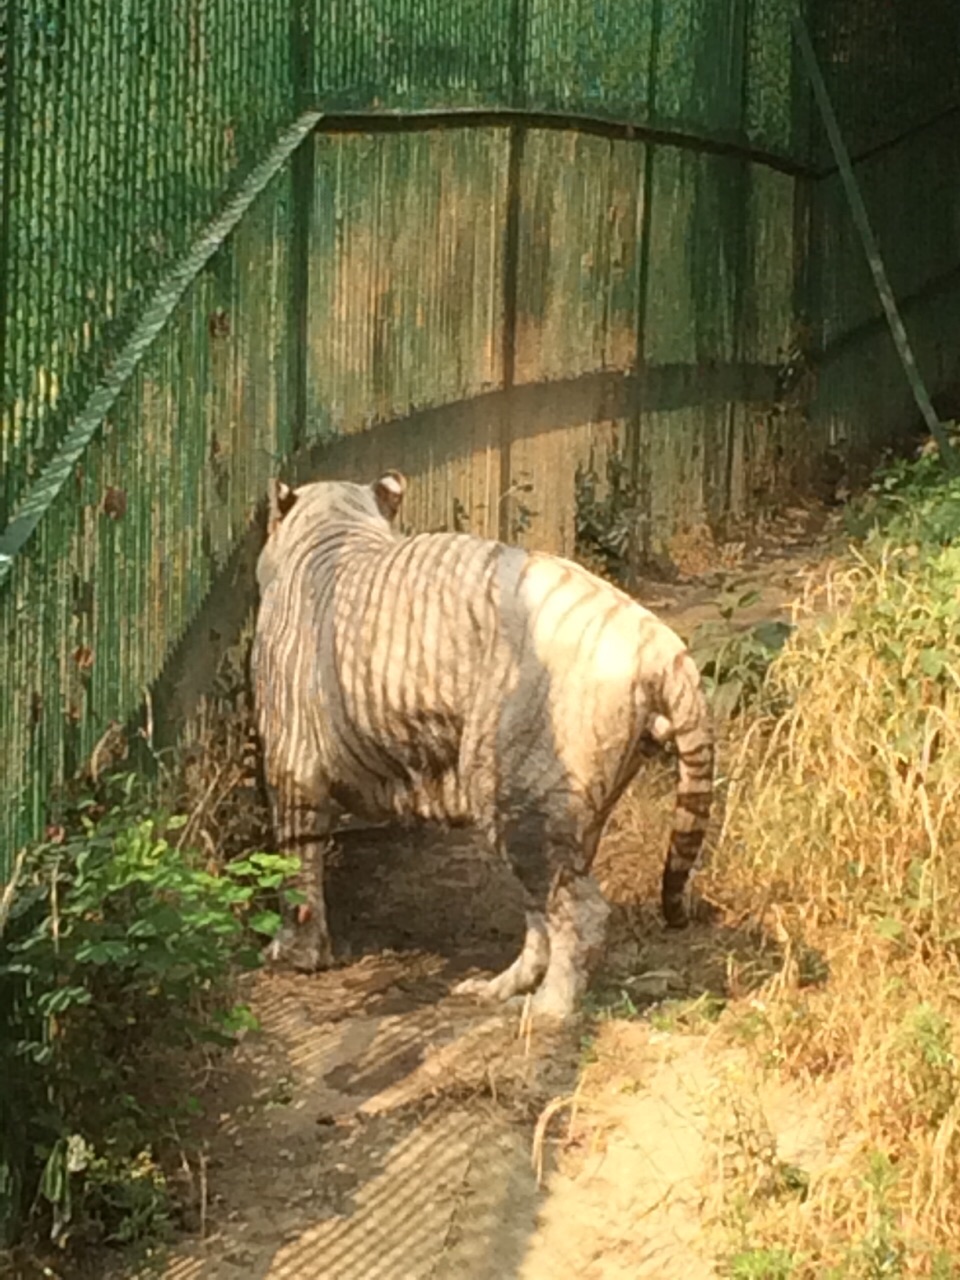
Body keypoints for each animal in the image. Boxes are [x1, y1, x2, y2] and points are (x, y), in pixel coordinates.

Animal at [252, 471, 716, 1018]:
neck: (335, 524)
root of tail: (664, 647)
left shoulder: (291, 768)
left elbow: (294, 870)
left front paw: (294, 954)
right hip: (563, 809)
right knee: (543, 913)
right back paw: (495, 989)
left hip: (519, 797)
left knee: (579, 912)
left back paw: (548, 1008)